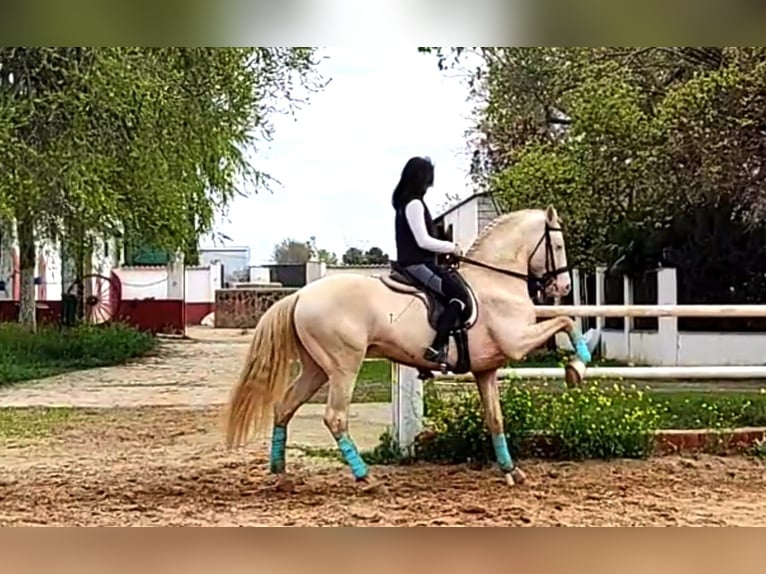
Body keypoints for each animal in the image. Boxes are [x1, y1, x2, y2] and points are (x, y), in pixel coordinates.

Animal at [224, 205, 592, 489]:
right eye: (559, 245)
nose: (564, 287)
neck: (497, 281)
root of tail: (300, 295)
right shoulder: (517, 342)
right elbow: (566, 321)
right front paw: (578, 366)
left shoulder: (487, 369)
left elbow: (496, 420)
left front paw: (511, 470)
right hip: (344, 367)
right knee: (335, 418)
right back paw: (365, 478)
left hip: (317, 369)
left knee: (284, 407)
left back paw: (280, 473)